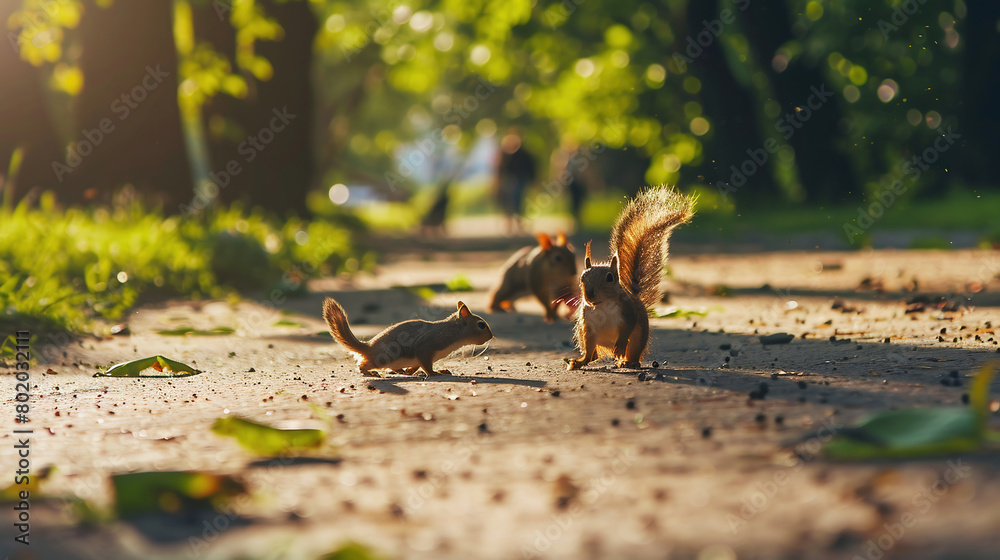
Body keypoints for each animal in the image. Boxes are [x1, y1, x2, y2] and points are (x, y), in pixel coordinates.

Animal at [323, 297, 493, 376]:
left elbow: (418, 364)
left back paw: (403, 372)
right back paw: (369, 372)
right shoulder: (427, 345)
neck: (453, 331)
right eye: (481, 325)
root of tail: (369, 347)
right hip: (384, 358)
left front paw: (413, 371)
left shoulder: (420, 357)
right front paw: (435, 373)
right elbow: (426, 365)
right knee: (364, 364)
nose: (491, 336)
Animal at [566, 186, 694, 370]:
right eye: (582, 277)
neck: (602, 305)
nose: (589, 295)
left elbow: (627, 327)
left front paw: (620, 346)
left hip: (637, 339)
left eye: (610, 278)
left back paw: (628, 361)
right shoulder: (588, 325)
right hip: (586, 336)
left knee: (632, 351)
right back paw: (579, 362)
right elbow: (590, 345)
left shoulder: (628, 311)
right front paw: (580, 361)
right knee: (592, 354)